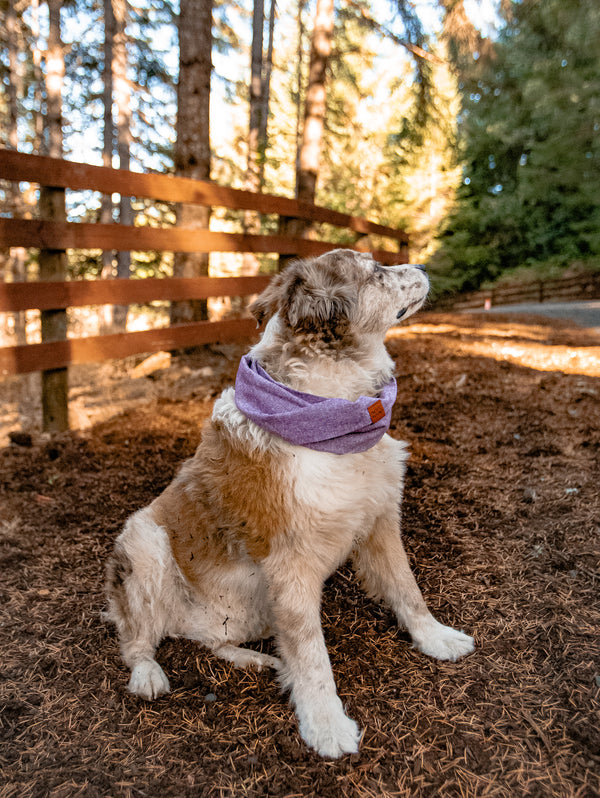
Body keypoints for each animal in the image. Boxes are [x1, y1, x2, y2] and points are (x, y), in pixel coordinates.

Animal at [106, 248, 474, 756]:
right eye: (374, 271)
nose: (421, 267)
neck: (329, 409)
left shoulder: (380, 520)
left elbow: (407, 590)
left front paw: (436, 639)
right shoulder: (290, 563)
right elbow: (311, 653)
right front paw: (326, 725)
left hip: (249, 610)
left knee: (211, 640)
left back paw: (254, 660)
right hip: (144, 540)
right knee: (137, 640)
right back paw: (148, 674)